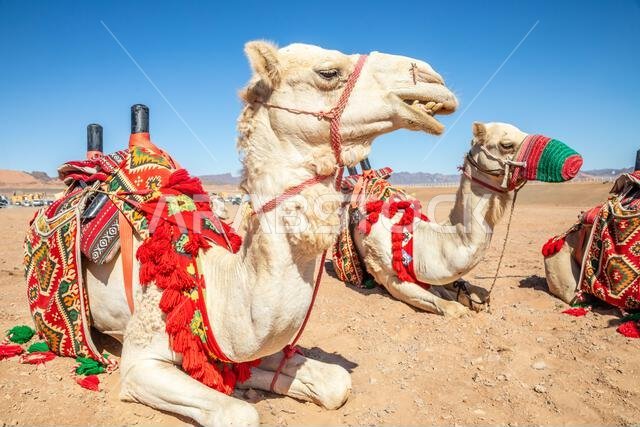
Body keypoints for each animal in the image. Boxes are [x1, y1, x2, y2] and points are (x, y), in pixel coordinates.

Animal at [82, 41, 457, 426]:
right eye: (328, 72)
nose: (431, 78)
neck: (210, 282)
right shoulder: (139, 362)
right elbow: (239, 413)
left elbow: (334, 382)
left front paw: (255, 380)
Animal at [353, 122, 582, 316]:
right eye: (507, 144)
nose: (574, 161)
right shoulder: (389, 277)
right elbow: (450, 307)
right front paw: (458, 305)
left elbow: (468, 288)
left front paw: (473, 298)